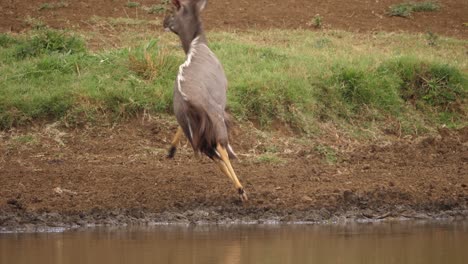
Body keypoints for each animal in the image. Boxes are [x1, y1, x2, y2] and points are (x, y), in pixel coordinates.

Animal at [164, 0, 247, 202]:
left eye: (173, 12)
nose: (164, 22)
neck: (197, 43)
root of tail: (188, 101)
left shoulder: (189, 124)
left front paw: (171, 150)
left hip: (194, 123)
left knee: (211, 153)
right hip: (215, 118)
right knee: (220, 147)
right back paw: (241, 190)